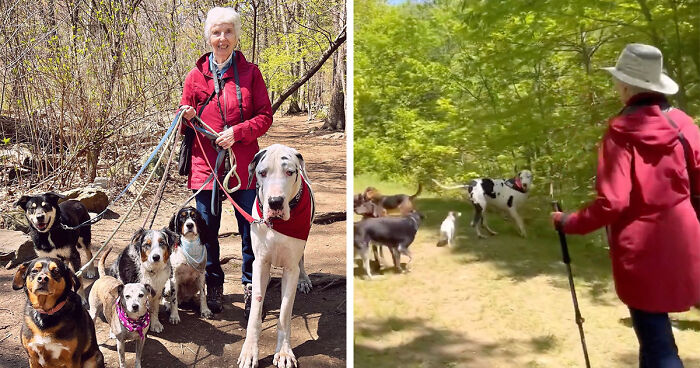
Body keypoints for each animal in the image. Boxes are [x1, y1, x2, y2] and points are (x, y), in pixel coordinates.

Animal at [238, 144, 314, 368]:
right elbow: (255, 311)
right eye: (262, 173)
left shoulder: (290, 269)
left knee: (302, 260)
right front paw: (249, 351)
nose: (275, 202)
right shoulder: (260, 263)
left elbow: (285, 314)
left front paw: (284, 352)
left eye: (289, 172)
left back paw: (304, 280)